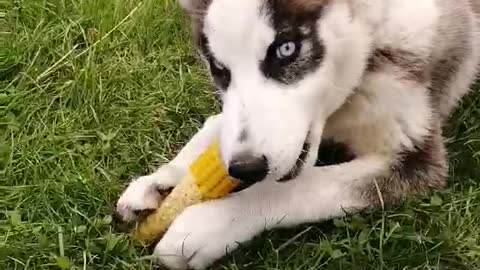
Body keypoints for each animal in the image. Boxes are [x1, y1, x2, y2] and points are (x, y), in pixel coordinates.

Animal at [116, 0, 480, 268]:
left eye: (286, 49)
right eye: (219, 69)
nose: (246, 168)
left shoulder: (417, 158)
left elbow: (299, 187)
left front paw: (209, 224)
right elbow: (215, 128)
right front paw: (162, 180)